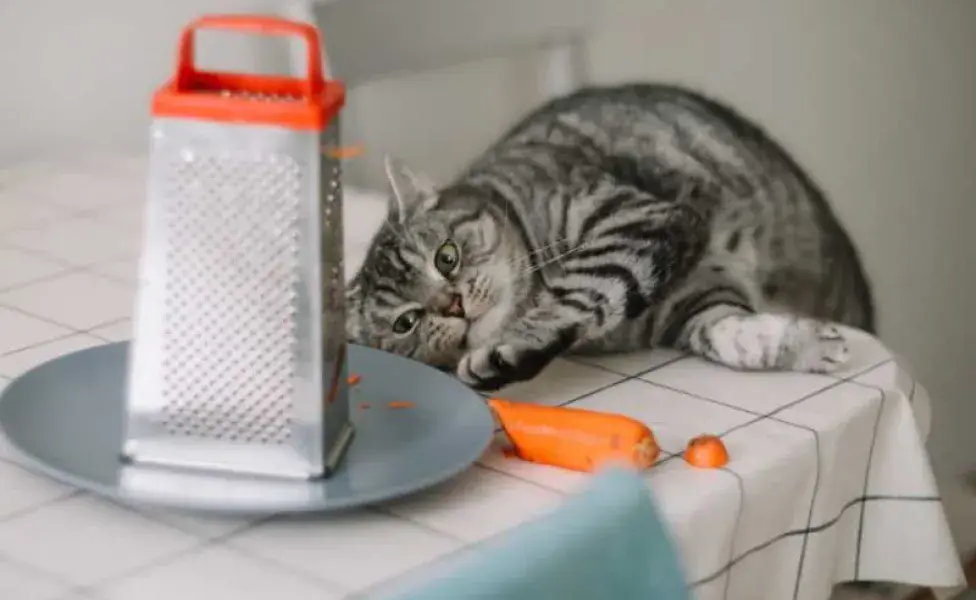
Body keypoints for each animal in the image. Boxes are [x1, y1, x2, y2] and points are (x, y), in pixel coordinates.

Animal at [346, 85, 876, 394]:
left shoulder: (633, 221)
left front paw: (508, 351)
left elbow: (577, 295)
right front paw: (802, 345)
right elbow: (732, 335)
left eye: (446, 258)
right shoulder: (692, 302)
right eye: (407, 322)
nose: (452, 305)